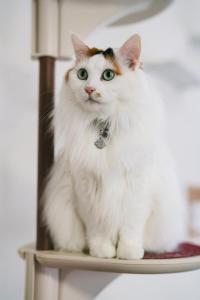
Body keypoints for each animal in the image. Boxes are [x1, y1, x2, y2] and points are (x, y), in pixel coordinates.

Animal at [42, 34, 188, 258]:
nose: (89, 89)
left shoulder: (138, 187)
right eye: (82, 74)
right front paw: (102, 251)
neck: (105, 127)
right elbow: (97, 227)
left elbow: (130, 227)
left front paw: (129, 253)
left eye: (108, 75)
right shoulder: (85, 189)